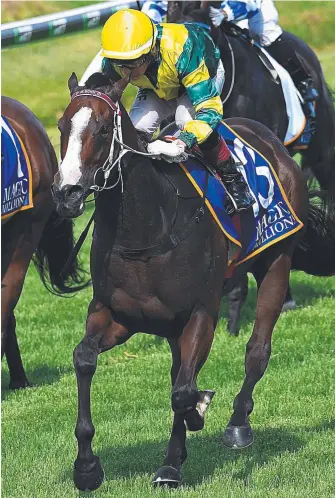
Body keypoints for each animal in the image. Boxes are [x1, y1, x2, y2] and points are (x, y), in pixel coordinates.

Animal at [51, 74, 335, 490]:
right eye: (61, 126)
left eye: (103, 130)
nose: (67, 193)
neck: (146, 229)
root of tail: (272, 142)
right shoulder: (117, 314)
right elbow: (85, 359)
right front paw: (86, 466)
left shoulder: (201, 313)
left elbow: (184, 392)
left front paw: (195, 417)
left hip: (276, 263)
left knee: (256, 351)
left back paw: (237, 424)